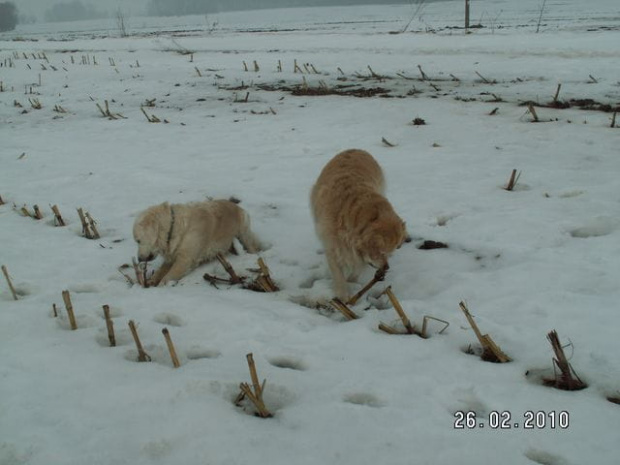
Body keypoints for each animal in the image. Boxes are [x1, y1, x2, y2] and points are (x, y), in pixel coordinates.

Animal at [310, 150, 406, 300]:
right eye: (382, 252)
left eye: (392, 252)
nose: (386, 268)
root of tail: (357, 149)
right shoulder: (333, 249)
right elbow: (339, 276)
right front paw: (343, 296)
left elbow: (358, 268)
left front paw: (352, 282)